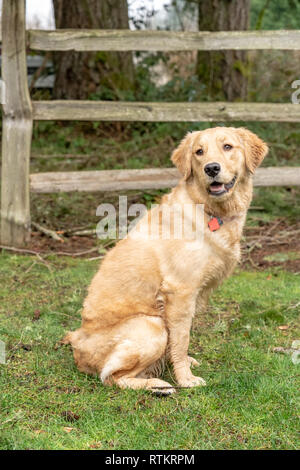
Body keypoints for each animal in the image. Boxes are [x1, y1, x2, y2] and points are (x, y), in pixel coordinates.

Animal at [64, 126, 268, 394]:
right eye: (199, 152)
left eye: (227, 147)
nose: (211, 169)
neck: (207, 209)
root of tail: (76, 344)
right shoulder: (180, 291)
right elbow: (181, 340)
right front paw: (185, 379)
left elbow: (182, 338)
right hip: (151, 325)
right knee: (111, 377)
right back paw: (157, 385)